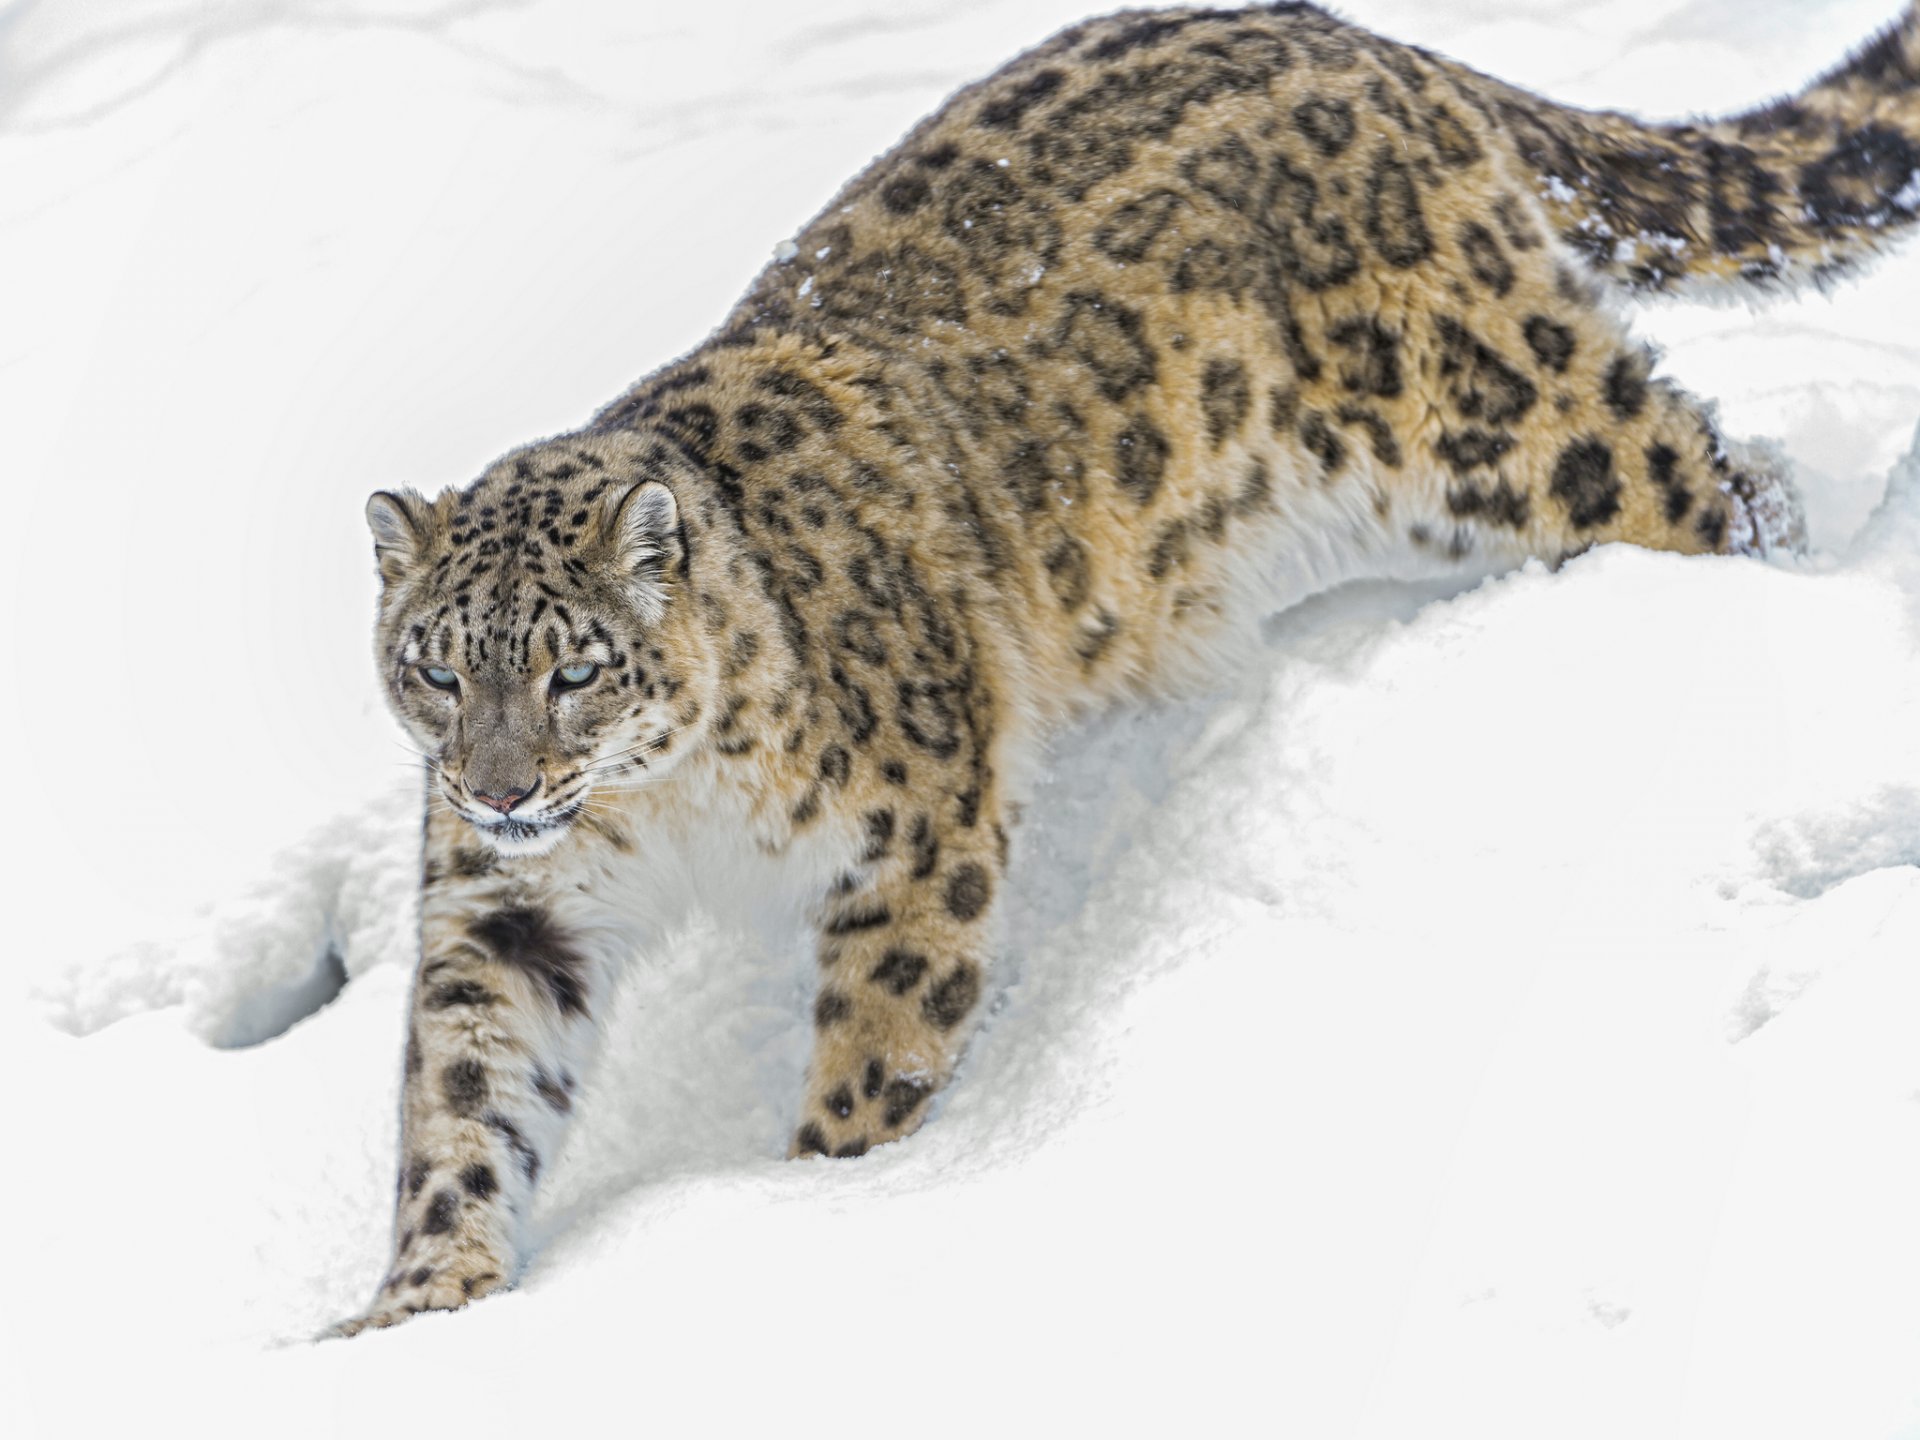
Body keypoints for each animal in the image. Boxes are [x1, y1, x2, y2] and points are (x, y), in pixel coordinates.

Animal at [334, 2, 1920, 1333]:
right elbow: (463, 1091)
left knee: (1725, 483)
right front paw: (419, 1307)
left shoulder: (918, 827)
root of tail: (1373, 45)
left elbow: (881, 1040)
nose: (499, 790)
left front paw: (820, 1197)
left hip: (1502, 422)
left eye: (573, 672)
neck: (665, 812)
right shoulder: (509, 908)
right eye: (436, 671)